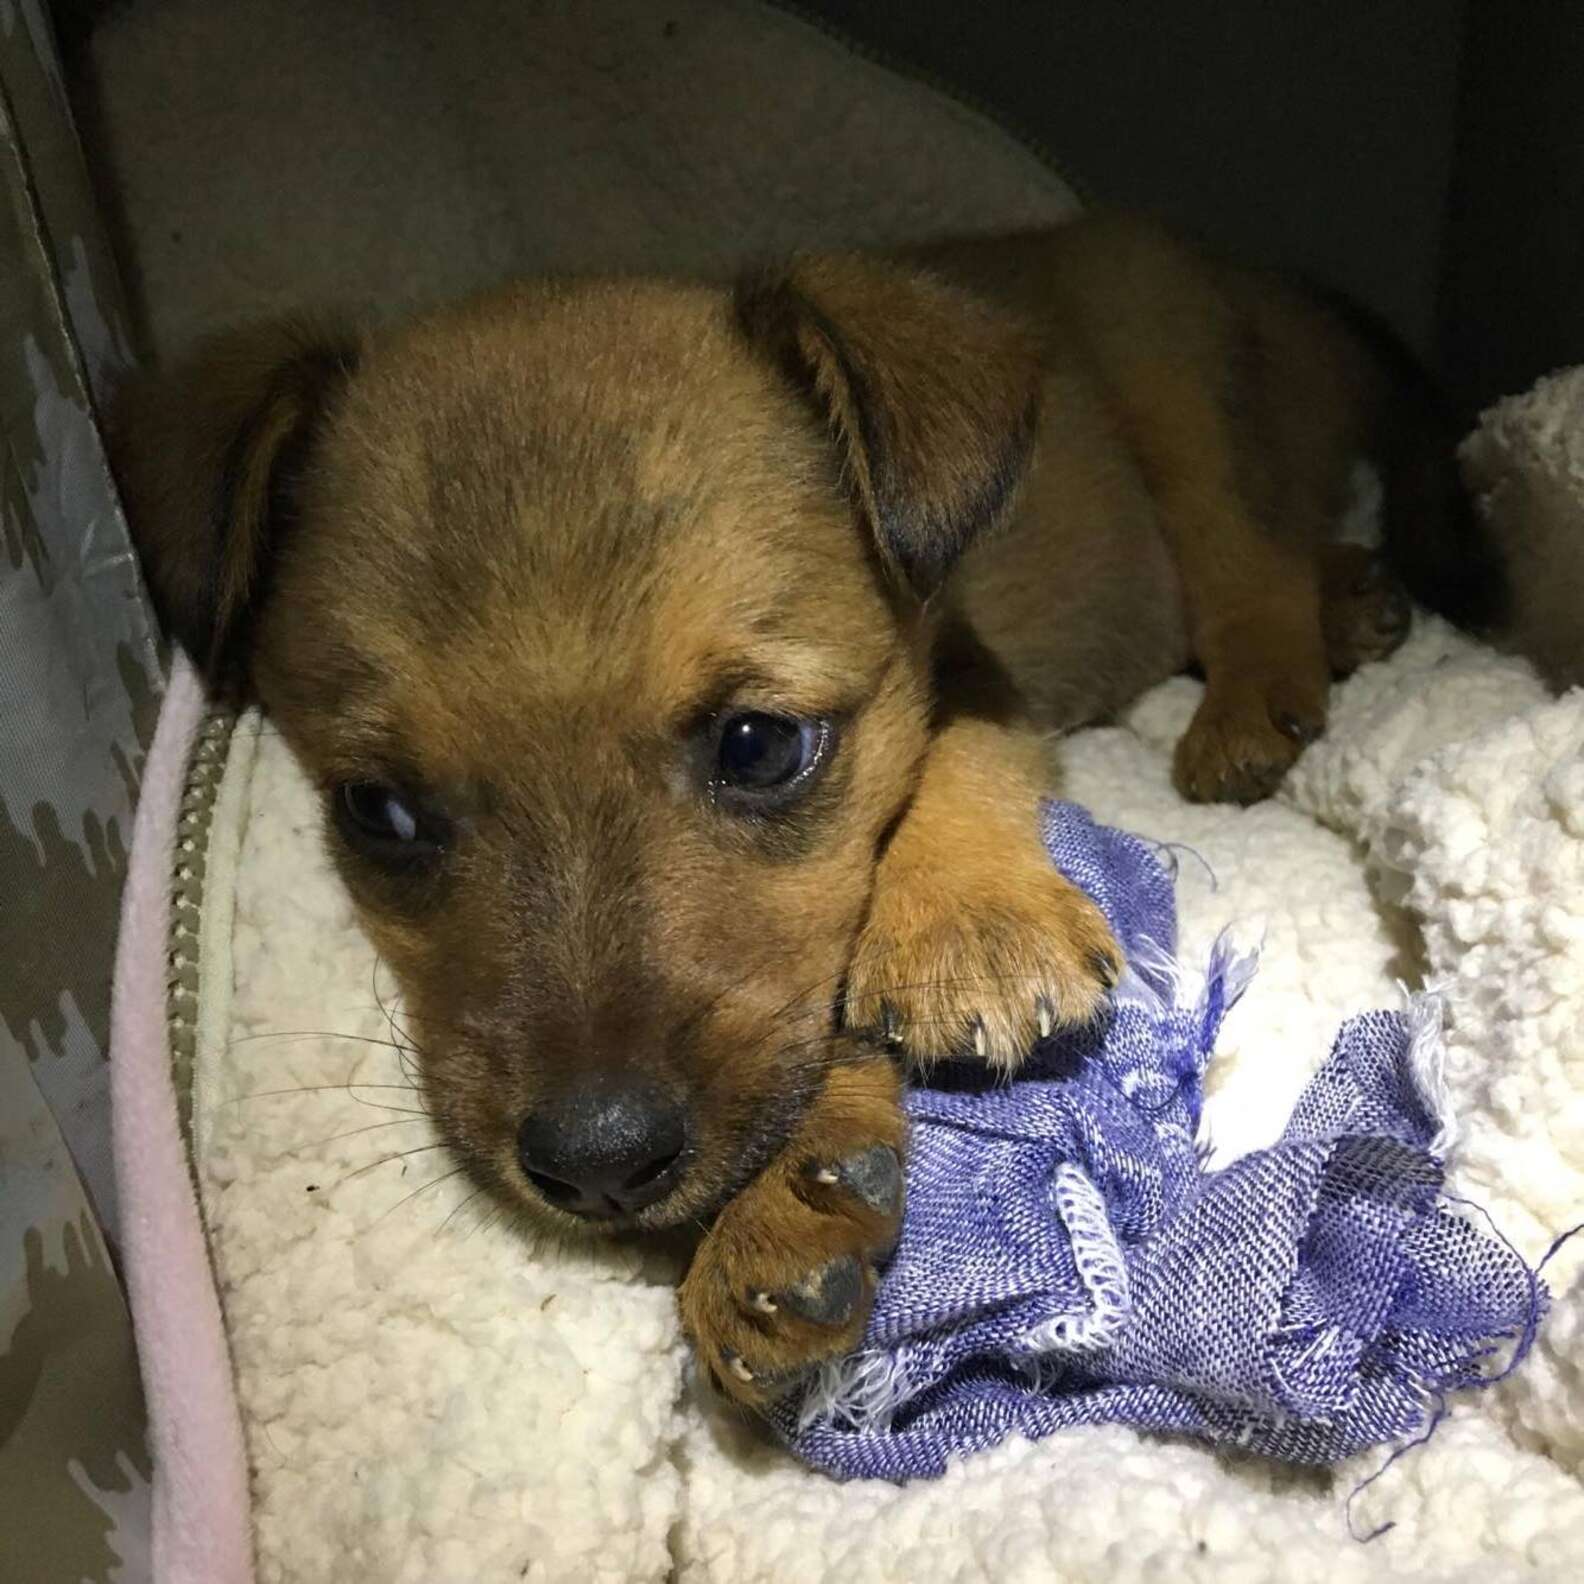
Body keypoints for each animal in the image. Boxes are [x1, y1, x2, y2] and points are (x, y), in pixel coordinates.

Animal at [111, 213, 1495, 1412]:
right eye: (380, 813)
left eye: (759, 745)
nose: (597, 1165)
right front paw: (796, 1192)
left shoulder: (971, 681)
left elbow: (952, 785)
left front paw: (960, 935)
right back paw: (1359, 602)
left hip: (1178, 386)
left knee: (1249, 557)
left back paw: (1261, 698)